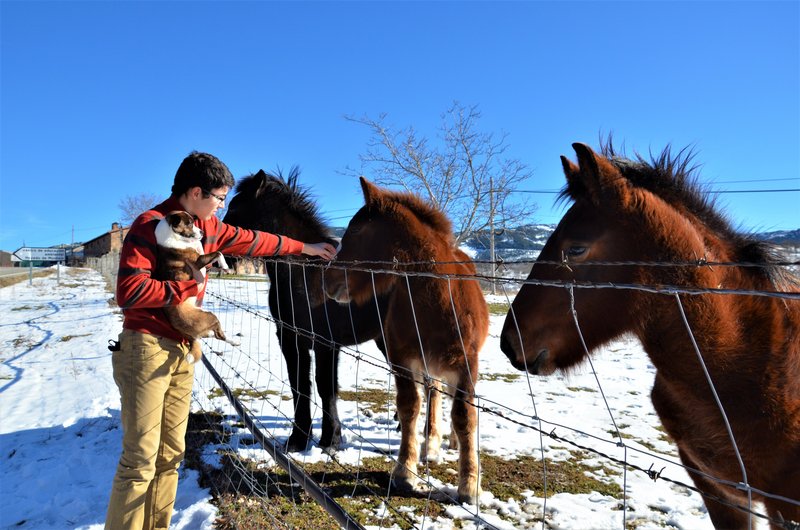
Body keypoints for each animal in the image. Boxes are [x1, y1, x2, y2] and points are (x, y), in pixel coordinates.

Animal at [152, 210, 236, 364]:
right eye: (190, 224)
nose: (202, 232)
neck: (173, 234)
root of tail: (186, 333)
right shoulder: (198, 261)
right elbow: (218, 253)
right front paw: (225, 266)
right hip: (210, 316)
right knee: (219, 335)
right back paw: (233, 341)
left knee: (211, 334)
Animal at [223, 169, 390, 450]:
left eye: (234, 207)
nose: (225, 257)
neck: (306, 274)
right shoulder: (290, 339)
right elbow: (298, 384)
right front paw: (298, 439)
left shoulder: (325, 343)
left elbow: (325, 387)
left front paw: (330, 439)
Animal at [324, 177, 488, 504]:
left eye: (356, 230)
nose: (329, 281)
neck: (436, 302)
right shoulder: (402, 359)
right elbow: (410, 406)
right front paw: (405, 471)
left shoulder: (466, 364)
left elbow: (464, 414)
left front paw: (469, 485)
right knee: (434, 393)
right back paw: (431, 445)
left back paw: (450, 443)